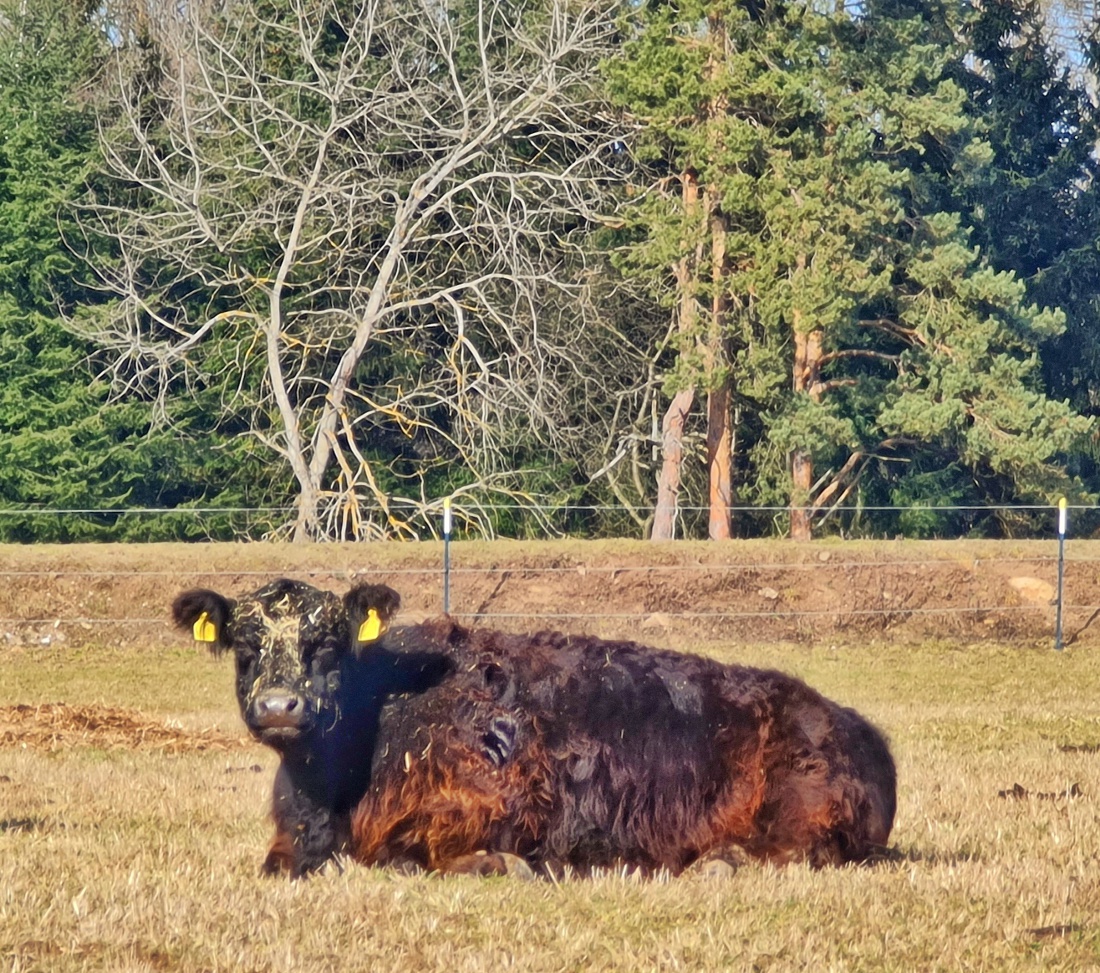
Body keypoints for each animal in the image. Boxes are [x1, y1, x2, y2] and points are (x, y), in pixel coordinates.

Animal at [169, 576, 893, 879]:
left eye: (326, 643)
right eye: (243, 647)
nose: (280, 706)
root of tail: (851, 725)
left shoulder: (487, 809)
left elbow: (409, 856)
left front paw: (504, 865)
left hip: (800, 811)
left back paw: (720, 862)